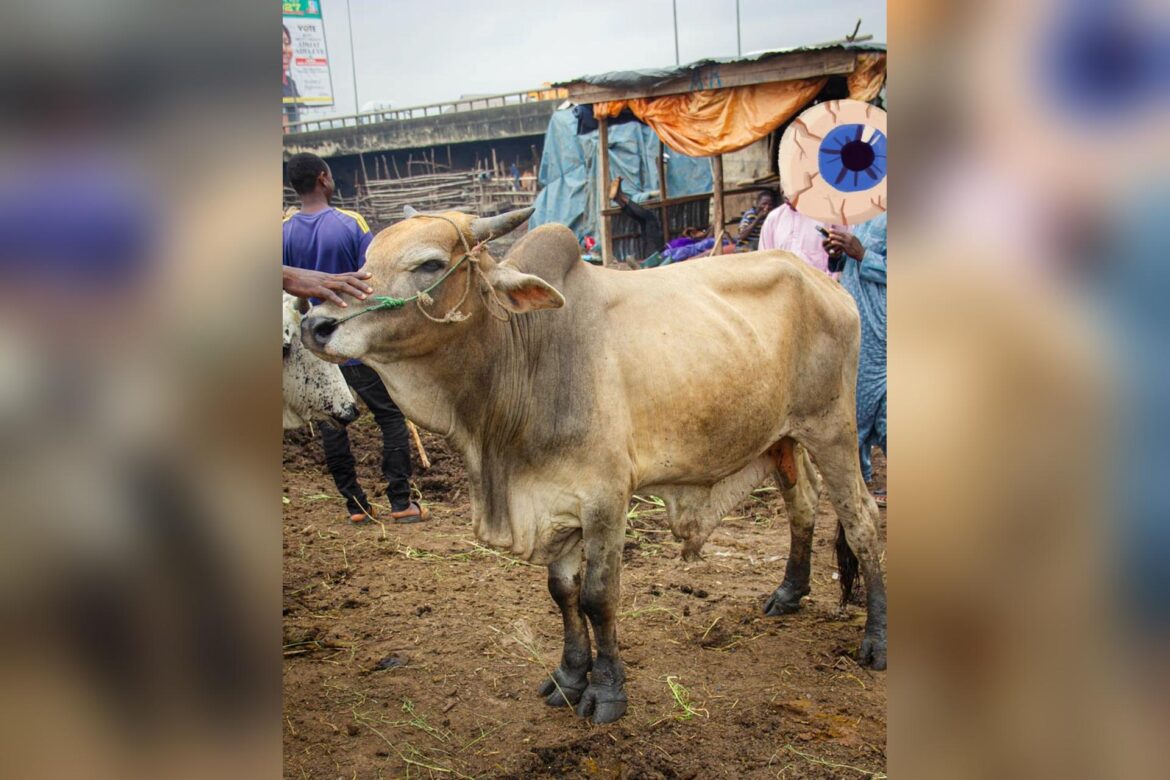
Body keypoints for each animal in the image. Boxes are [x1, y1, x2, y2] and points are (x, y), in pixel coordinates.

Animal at [300, 207, 886, 724]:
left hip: (832, 429)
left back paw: (875, 640)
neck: (526, 356)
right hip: (782, 438)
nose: (315, 324)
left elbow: (598, 597)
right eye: (365, 257)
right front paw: (568, 676)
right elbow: (563, 594)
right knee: (802, 503)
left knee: (862, 521)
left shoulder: (606, 499)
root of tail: (825, 282)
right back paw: (788, 592)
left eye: (427, 263)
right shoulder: (555, 502)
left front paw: (605, 691)